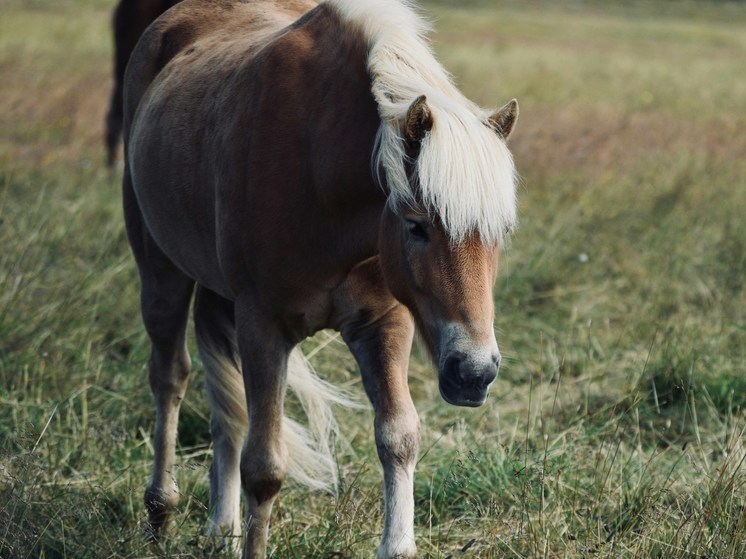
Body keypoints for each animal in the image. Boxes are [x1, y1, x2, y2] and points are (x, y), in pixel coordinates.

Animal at [122, 0, 516, 556]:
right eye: (417, 225)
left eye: (500, 232)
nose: (474, 373)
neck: (321, 171)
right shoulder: (263, 326)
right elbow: (264, 468)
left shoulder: (384, 324)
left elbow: (399, 437)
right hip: (160, 270)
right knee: (170, 377)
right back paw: (161, 509)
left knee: (226, 406)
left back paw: (221, 527)